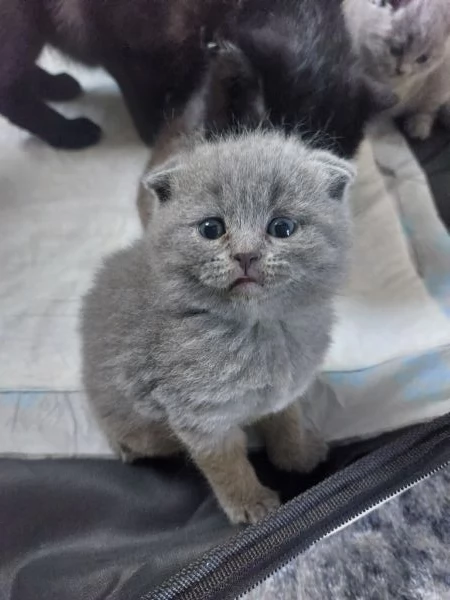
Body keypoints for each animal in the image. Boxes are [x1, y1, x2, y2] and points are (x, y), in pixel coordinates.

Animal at [81, 129, 356, 524]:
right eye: (212, 229)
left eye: (282, 227)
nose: (245, 254)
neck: (260, 330)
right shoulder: (201, 415)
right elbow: (225, 465)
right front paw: (251, 503)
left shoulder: (282, 394)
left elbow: (286, 421)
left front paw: (298, 454)